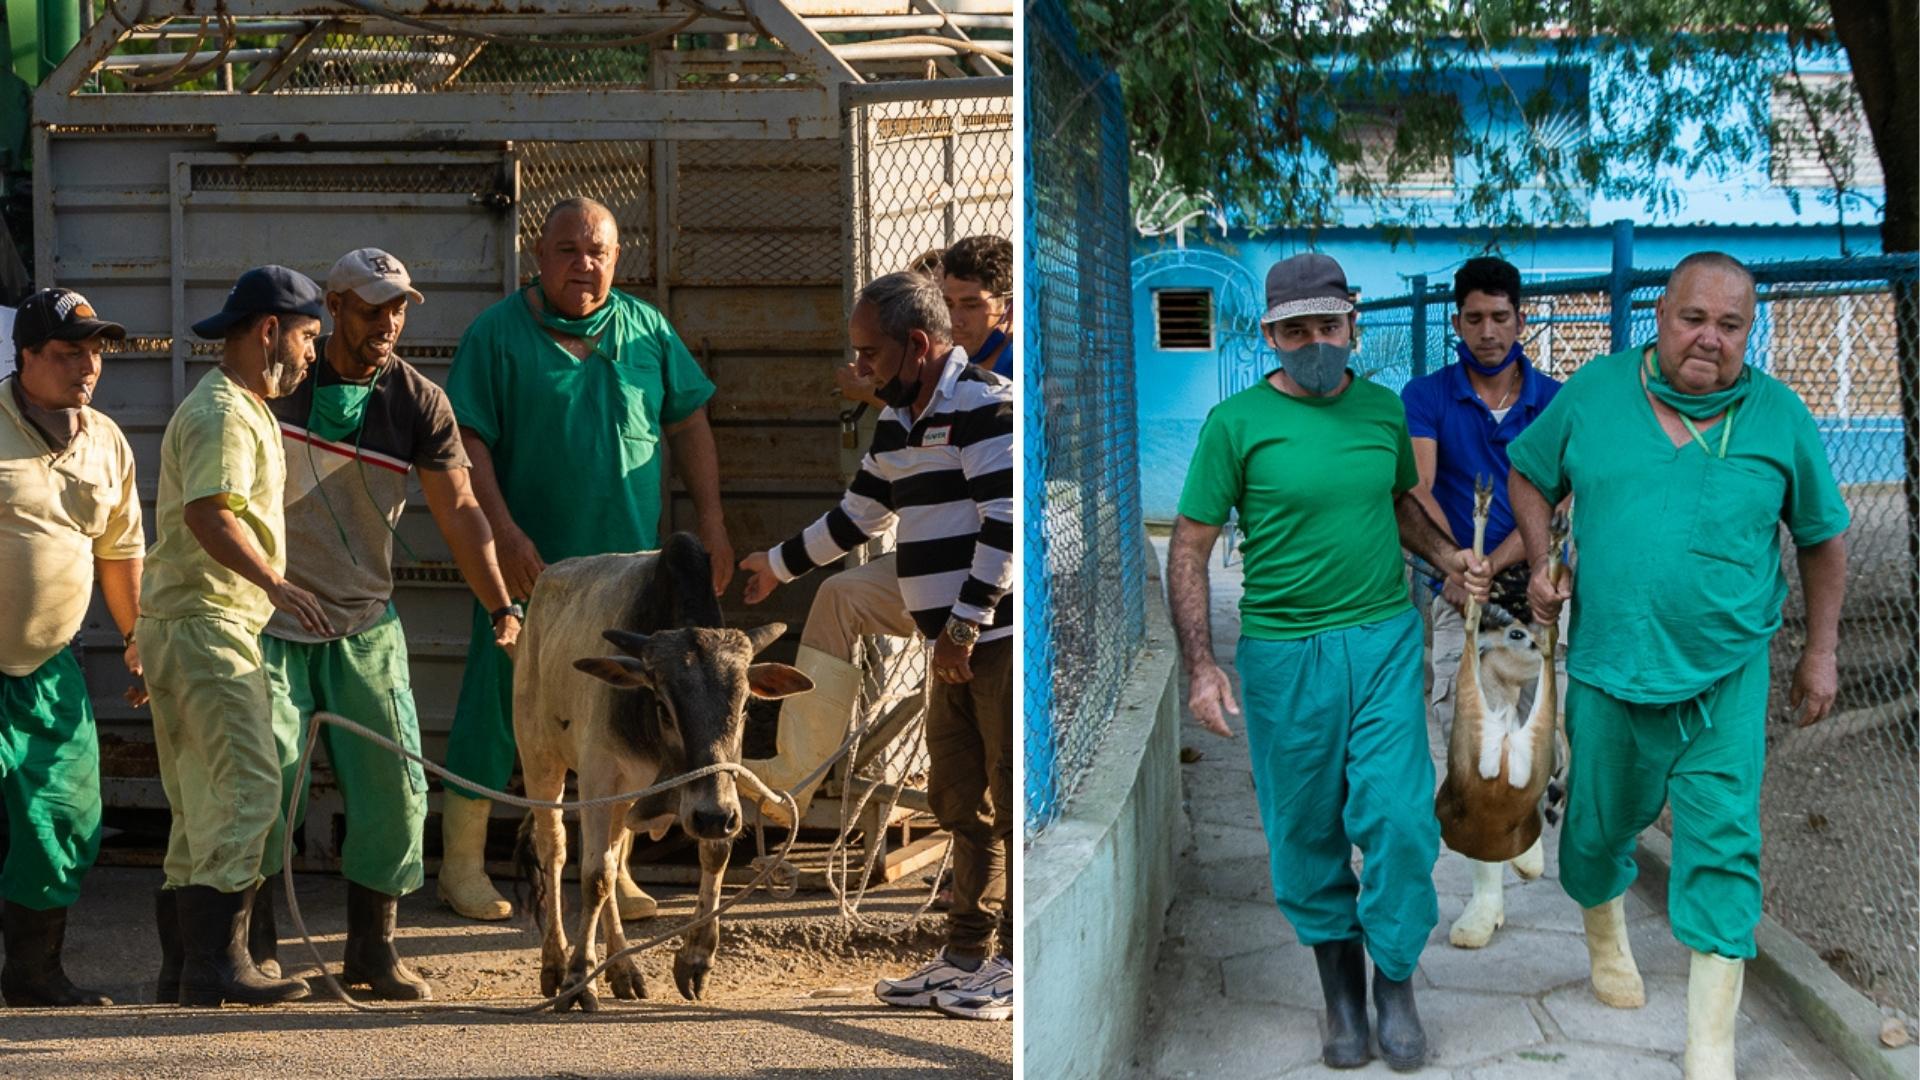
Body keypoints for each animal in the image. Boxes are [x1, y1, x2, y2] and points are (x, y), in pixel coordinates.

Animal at [510, 530, 810, 1006]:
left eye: (745, 706)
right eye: (664, 707)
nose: (712, 817)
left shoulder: (713, 793)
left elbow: (713, 853)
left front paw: (696, 959)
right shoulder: (598, 778)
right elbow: (593, 876)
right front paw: (578, 977)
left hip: (622, 798)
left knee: (614, 859)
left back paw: (624, 971)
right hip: (541, 762)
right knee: (556, 852)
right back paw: (556, 962)